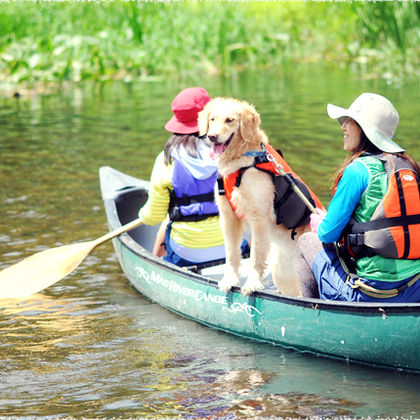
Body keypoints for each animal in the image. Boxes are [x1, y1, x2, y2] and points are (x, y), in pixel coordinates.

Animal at [200, 97, 316, 296]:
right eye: (212, 119)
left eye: (229, 120)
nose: (212, 136)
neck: (241, 160)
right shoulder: (228, 216)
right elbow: (231, 253)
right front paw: (229, 279)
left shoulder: (259, 217)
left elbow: (256, 256)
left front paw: (252, 283)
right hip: (282, 271)